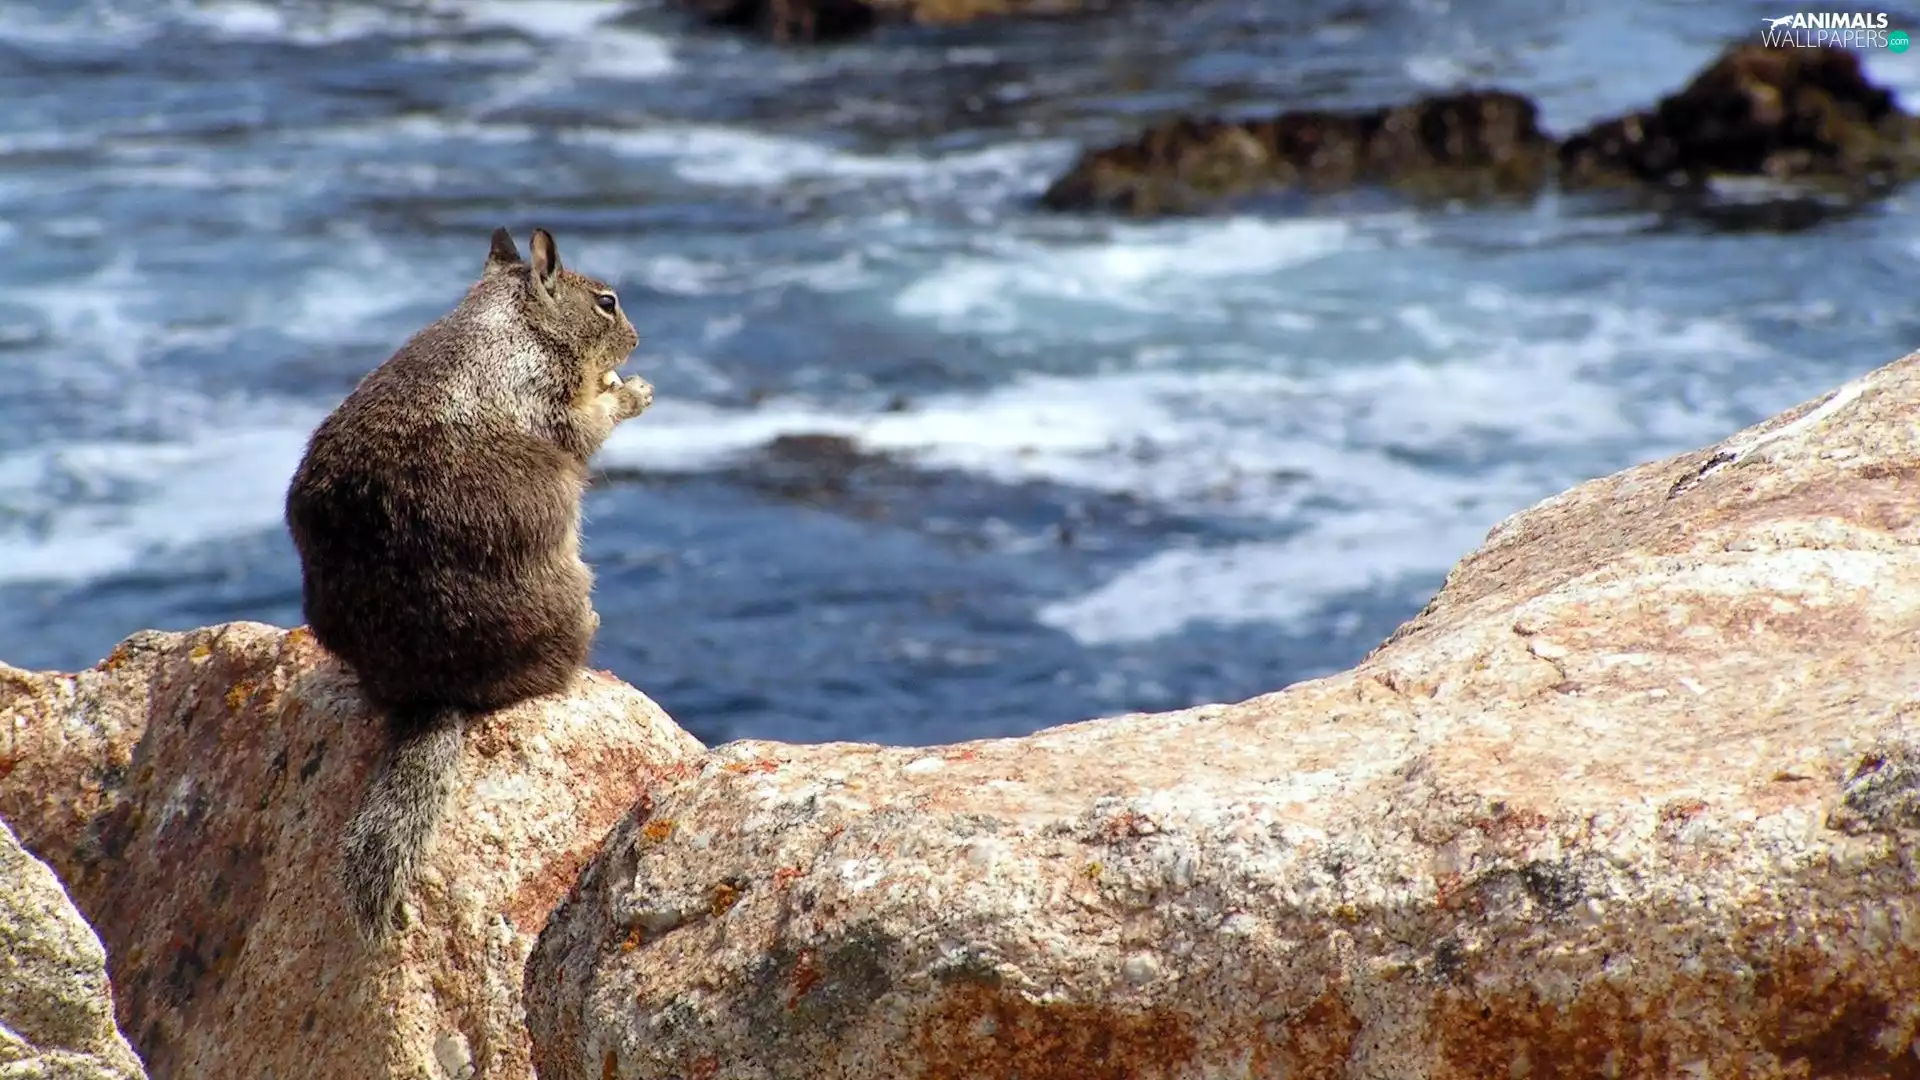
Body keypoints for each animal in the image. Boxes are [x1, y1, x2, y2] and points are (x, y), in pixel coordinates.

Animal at [284, 227, 653, 944]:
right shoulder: (548, 395)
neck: (512, 318)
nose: (637, 338)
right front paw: (632, 390)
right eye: (607, 302)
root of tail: (435, 688)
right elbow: (586, 426)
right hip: (570, 591)